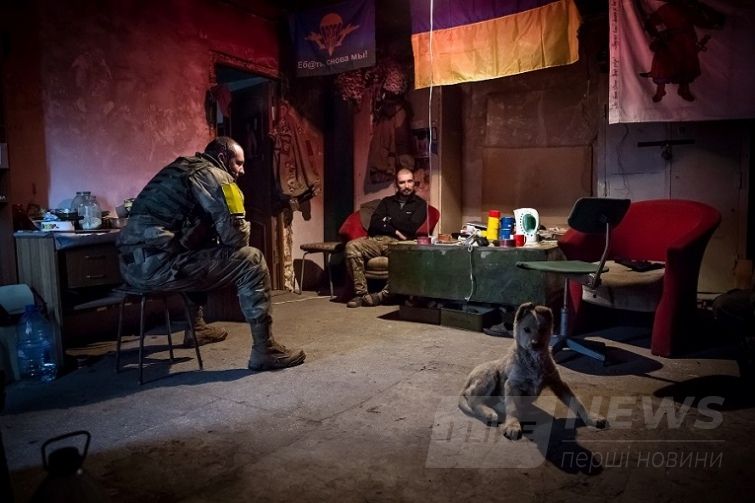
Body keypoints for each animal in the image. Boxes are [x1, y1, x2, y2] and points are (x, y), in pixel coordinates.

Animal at [459, 302, 609, 440]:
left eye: (542, 330)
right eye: (526, 329)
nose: (535, 344)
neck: (533, 361)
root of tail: (467, 379)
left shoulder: (558, 383)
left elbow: (577, 402)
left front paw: (591, 417)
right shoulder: (512, 384)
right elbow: (513, 407)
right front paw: (513, 425)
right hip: (490, 376)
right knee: (472, 399)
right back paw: (489, 413)